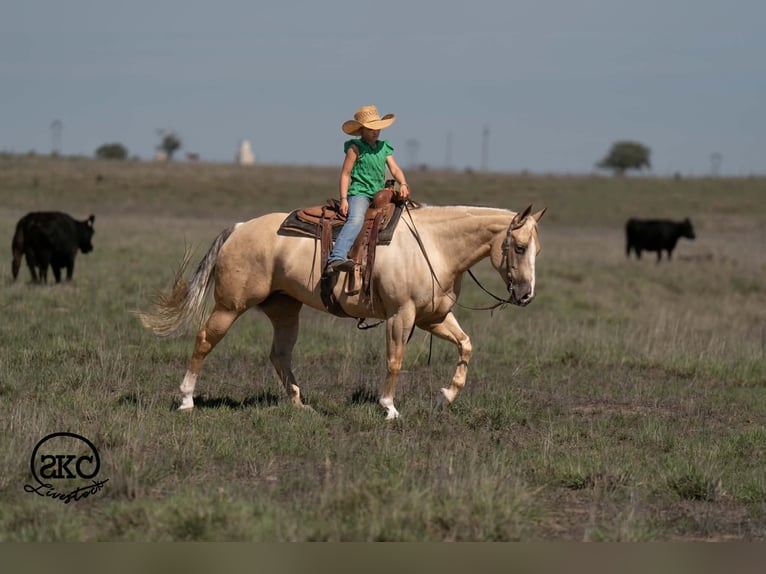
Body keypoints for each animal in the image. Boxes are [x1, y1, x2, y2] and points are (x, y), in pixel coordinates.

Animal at [137, 203, 546, 419]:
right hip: (230, 306)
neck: (433, 246)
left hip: (285, 310)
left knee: (280, 354)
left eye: (536, 250)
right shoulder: (400, 316)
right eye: (519, 247)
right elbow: (395, 360)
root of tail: (237, 228)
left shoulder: (434, 318)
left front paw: (447, 394)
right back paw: (186, 400)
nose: (526, 295)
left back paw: (300, 404)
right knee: (205, 340)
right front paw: (389, 408)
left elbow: (466, 345)